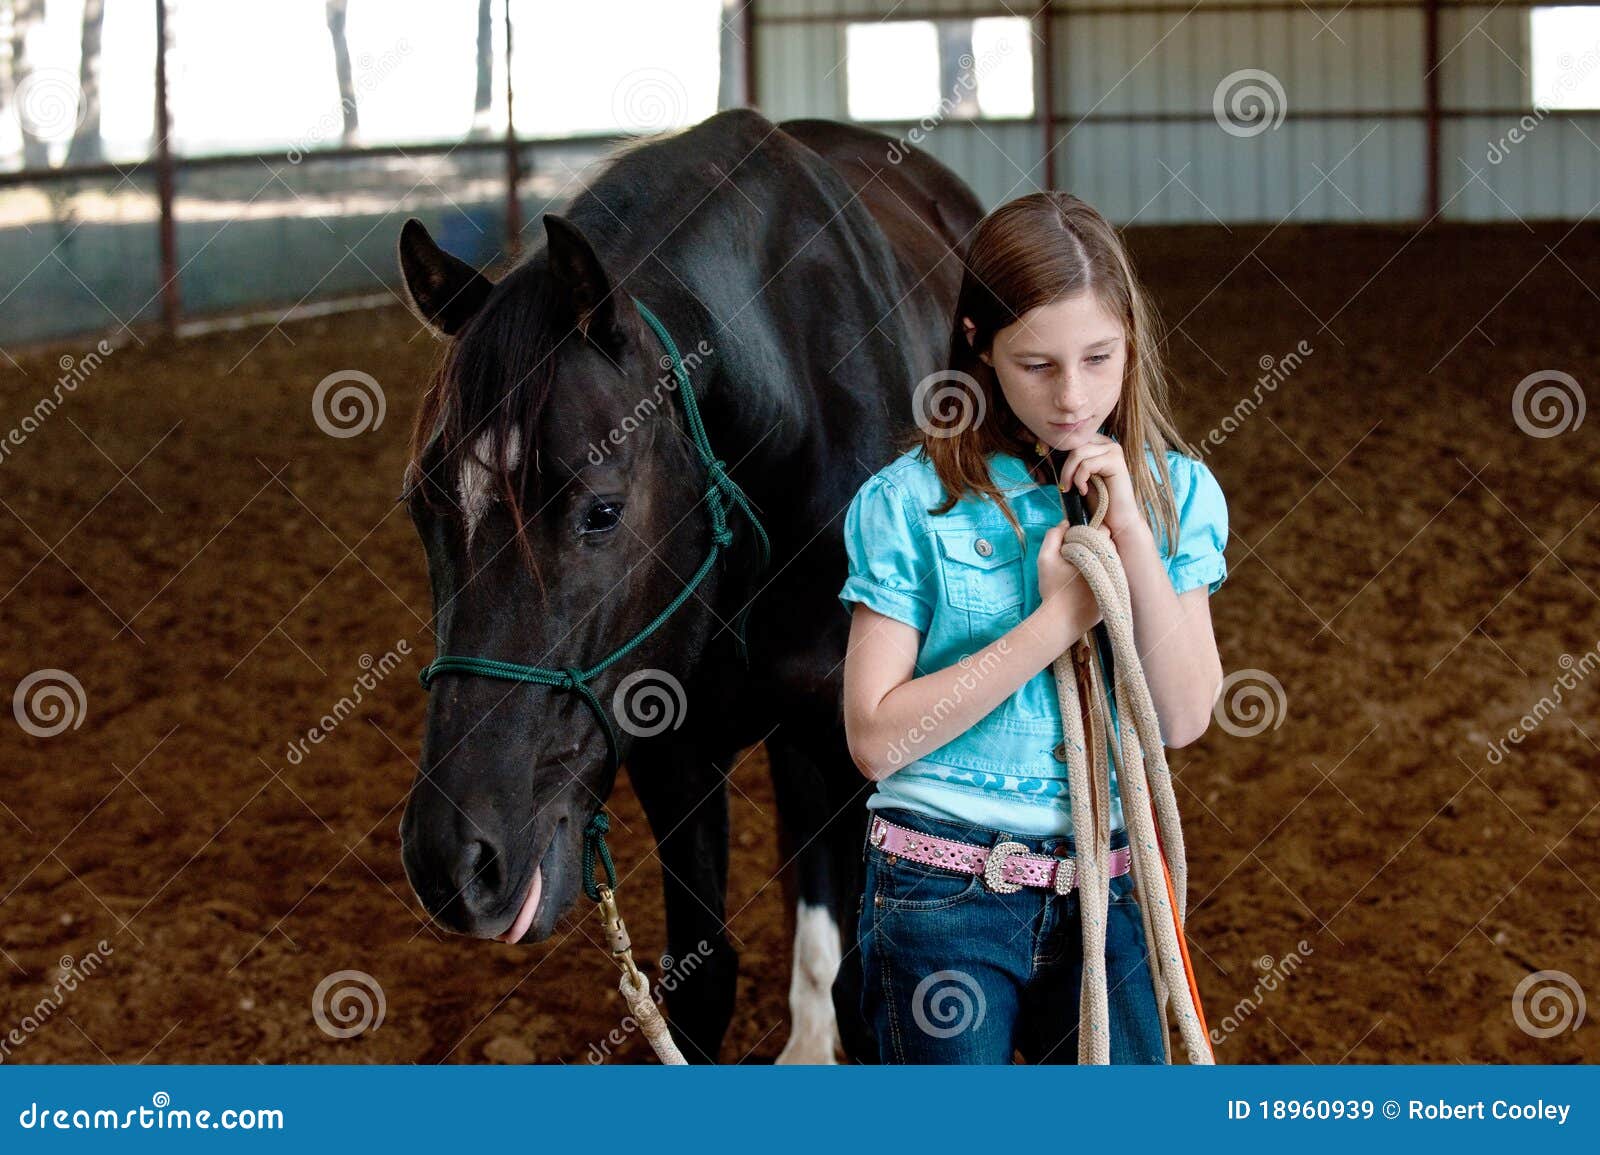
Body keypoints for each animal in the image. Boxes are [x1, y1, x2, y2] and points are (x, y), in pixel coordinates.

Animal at [395, 107, 983, 1063]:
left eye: (600, 511)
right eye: (422, 505)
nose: (452, 858)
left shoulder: (860, 751)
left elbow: (873, 992)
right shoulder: (672, 750)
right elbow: (701, 981)